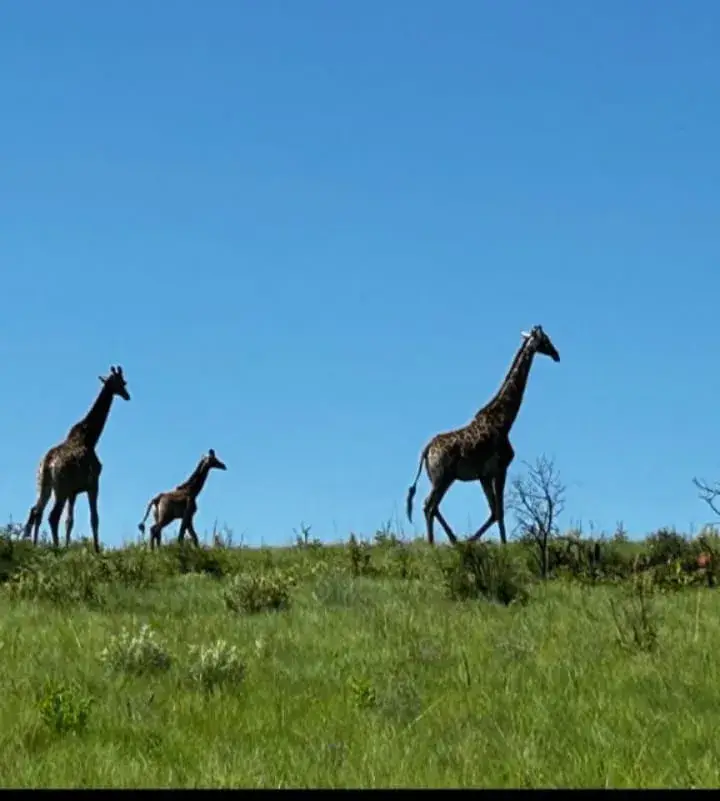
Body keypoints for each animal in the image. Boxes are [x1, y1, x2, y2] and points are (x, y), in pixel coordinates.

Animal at [23, 365, 131, 553]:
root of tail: (47, 463)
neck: (90, 438)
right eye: (122, 383)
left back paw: (36, 545)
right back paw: (55, 548)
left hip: (44, 485)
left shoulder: (73, 492)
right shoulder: (93, 484)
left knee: (37, 511)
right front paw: (96, 550)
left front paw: (68, 547)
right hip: (61, 488)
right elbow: (94, 518)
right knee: (52, 516)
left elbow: (69, 521)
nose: (127, 395)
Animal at [405, 325, 560, 546]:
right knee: (429, 505)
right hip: (442, 476)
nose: (557, 354)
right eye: (546, 340)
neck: (505, 421)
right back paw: (433, 544)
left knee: (432, 506)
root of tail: (426, 450)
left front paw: (473, 540)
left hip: (442, 477)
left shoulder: (484, 475)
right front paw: (500, 545)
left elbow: (494, 511)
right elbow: (499, 511)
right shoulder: (500, 468)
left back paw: (453, 539)